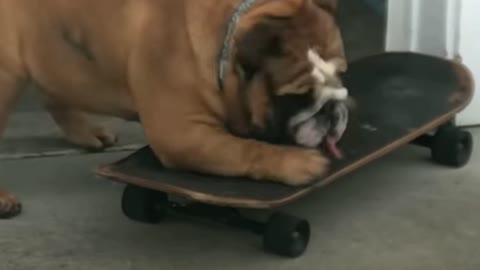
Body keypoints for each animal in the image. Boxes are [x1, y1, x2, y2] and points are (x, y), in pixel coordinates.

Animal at [0, 0, 346, 217]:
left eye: (342, 75)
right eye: (299, 96)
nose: (333, 111)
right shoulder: (182, 135)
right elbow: (246, 150)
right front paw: (295, 163)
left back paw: (88, 134)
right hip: (8, 76)